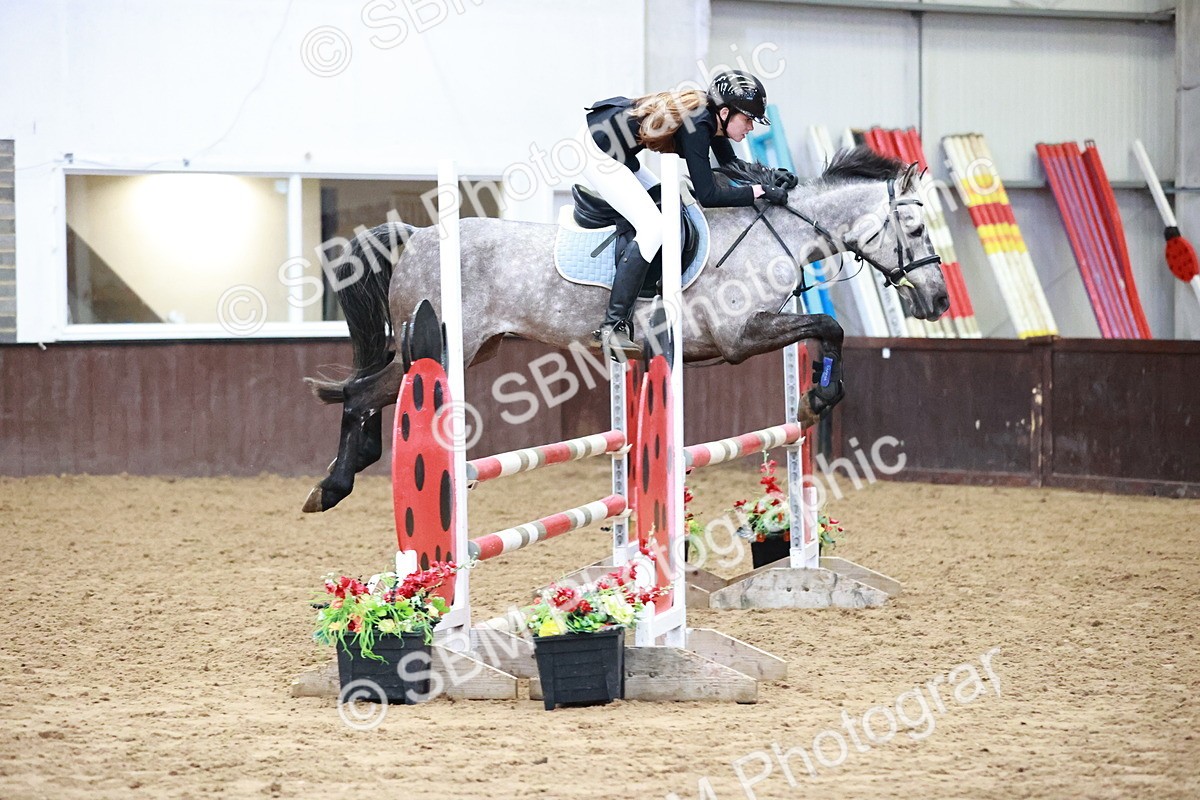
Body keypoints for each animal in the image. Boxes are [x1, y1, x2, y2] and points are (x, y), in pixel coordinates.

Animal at [302, 147, 948, 512]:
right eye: (916, 229)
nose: (940, 300)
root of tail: (416, 235)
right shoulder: (739, 337)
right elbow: (830, 325)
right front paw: (816, 399)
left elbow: (827, 332)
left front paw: (814, 398)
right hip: (444, 349)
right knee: (362, 392)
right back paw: (331, 487)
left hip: (478, 351)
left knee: (369, 391)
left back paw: (344, 473)